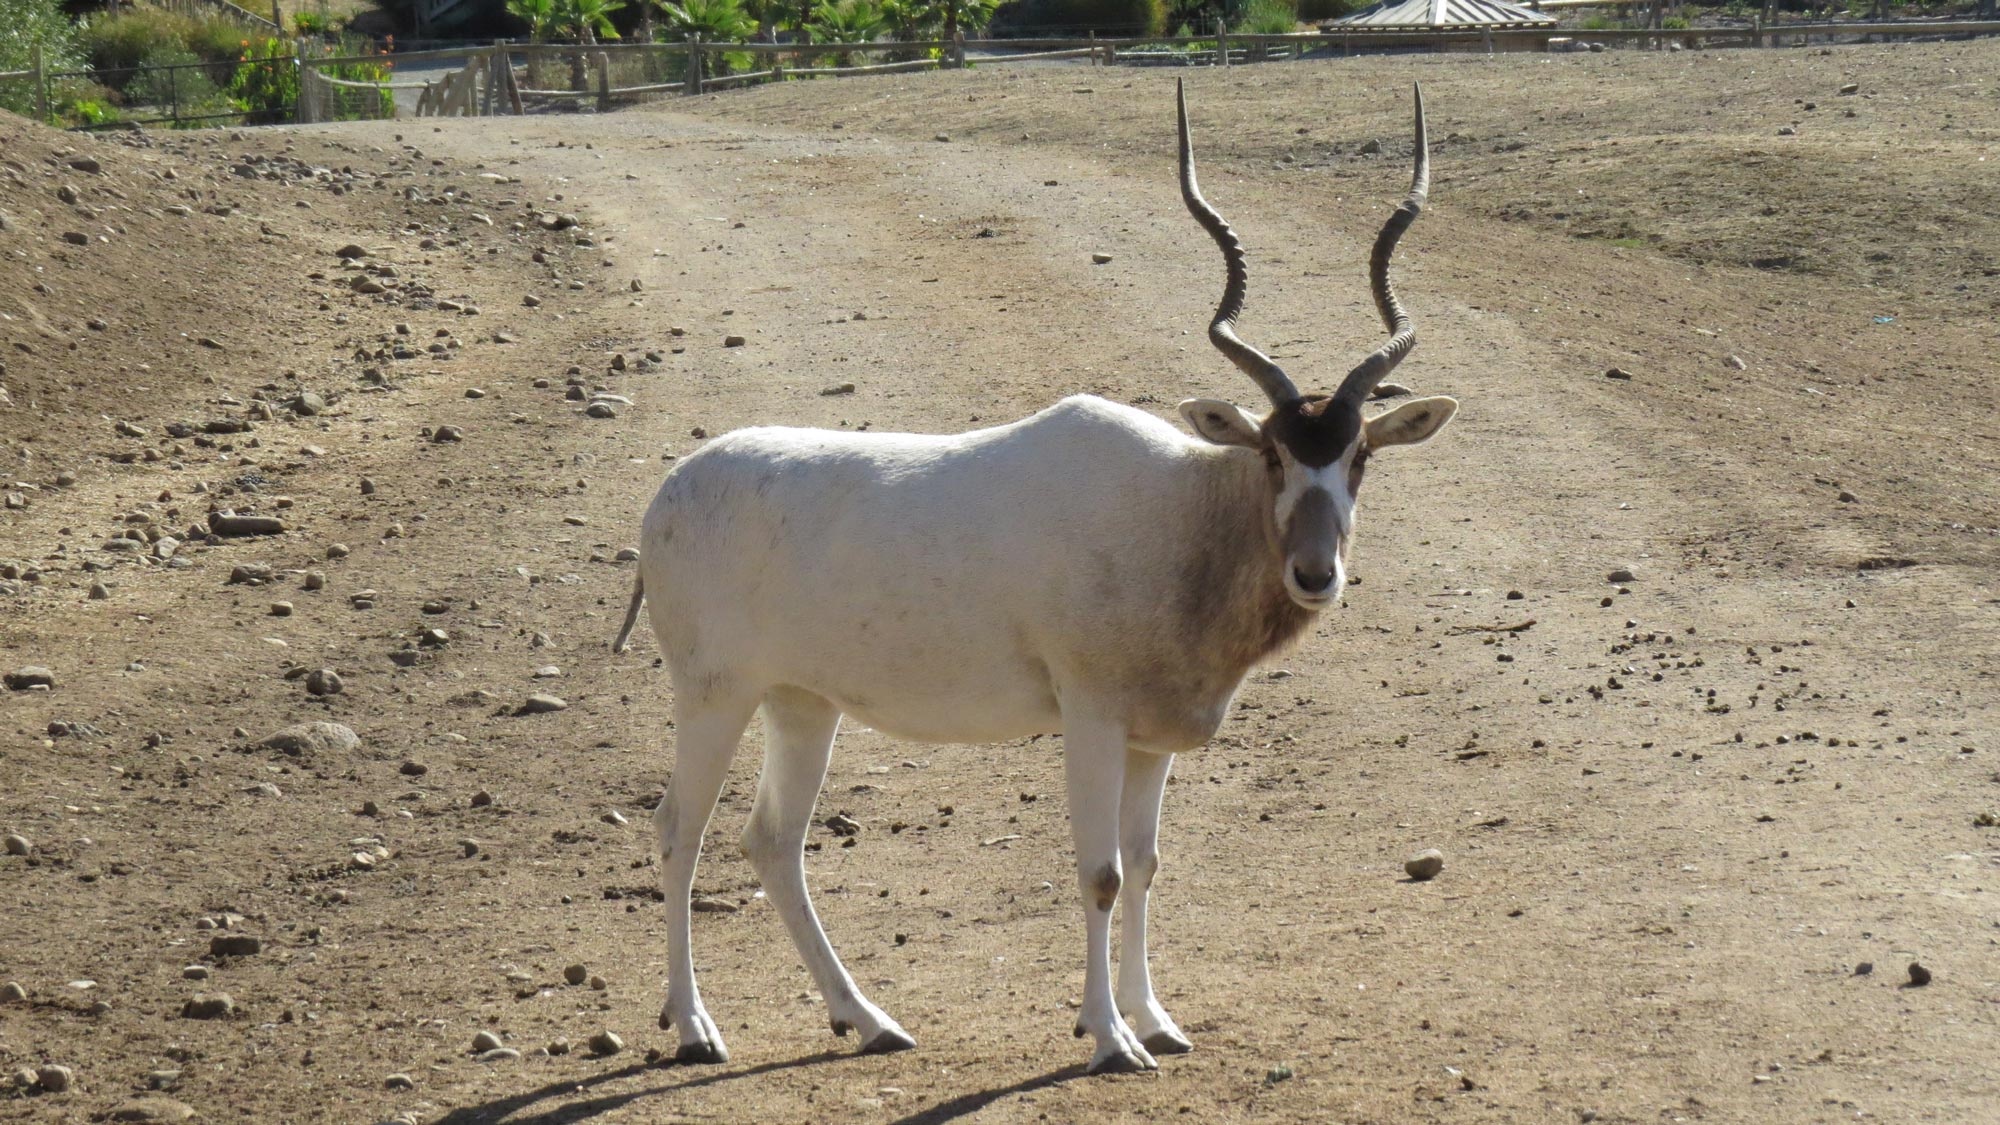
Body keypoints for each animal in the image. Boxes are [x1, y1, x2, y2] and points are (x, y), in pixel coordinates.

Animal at [608, 81, 1456, 1064]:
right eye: (1274, 454)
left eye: (1358, 454)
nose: (1317, 573)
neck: (1180, 511)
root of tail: (669, 495)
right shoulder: (1090, 716)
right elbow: (1101, 872)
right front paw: (1109, 1036)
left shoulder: (1148, 738)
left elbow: (1148, 866)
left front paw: (1155, 1019)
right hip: (715, 693)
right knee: (680, 831)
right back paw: (696, 1027)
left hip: (801, 702)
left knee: (772, 840)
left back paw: (868, 1018)